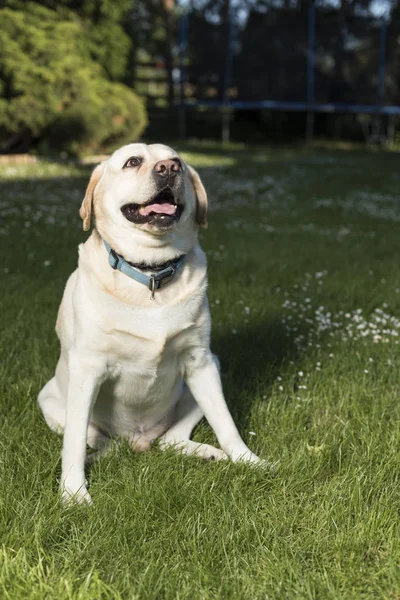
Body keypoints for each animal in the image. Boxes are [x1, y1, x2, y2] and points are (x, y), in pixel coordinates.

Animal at [38, 144, 266, 502]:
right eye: (133, 162)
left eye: (179, 163)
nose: (169, 168)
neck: (150, 274)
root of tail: (139, 440)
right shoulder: (87, 370)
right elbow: (72, 443)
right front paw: (74, 495)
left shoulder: (200, 362)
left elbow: (226, 422)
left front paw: (248, 461)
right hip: (50, 400)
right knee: (98, 441)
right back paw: (96, 456)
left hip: (207, 373)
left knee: (170, 440)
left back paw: (206, 452)